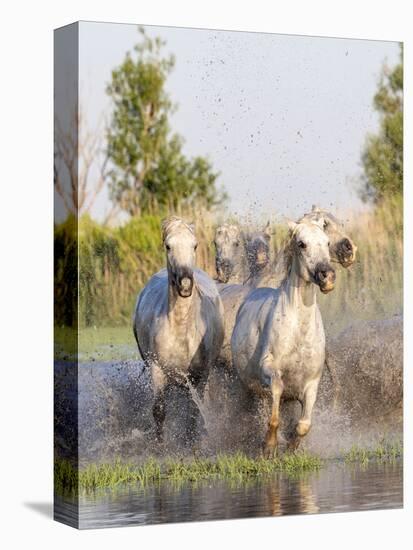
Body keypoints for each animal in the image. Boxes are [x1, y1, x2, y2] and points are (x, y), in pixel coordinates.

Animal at [134, 218, 224, 446]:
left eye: (195, 245)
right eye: (168, 246)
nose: (185, 285)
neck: (181, 329)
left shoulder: (200, 375)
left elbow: (193, 411)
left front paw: (190, 444)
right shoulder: (157, 369)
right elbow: (159, 409)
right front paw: (160, 445)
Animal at [230, 219, 336, 458]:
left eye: (327, 242)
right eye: (301, 244)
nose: (327, 276)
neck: (299, 332)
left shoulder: (311, 383)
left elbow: (304, 424)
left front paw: (291, 448)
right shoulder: (269, 369)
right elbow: (275, 407)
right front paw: (269, 447)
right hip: (247, 387)